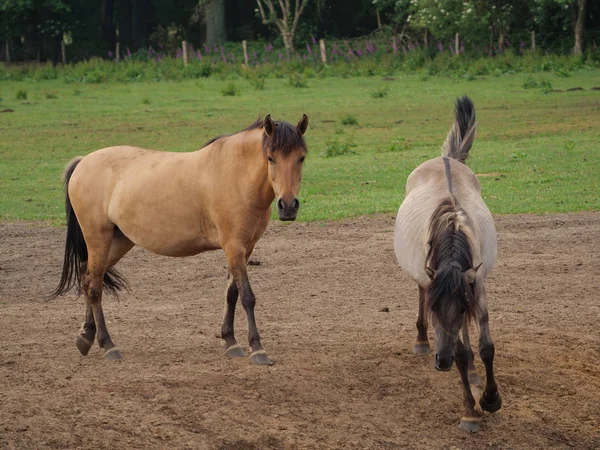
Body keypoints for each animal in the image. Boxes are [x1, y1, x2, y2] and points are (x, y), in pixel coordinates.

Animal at [51, 113, 310, 366]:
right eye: (270, 158)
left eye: (301, 158)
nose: (288, 206)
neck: (235, 175)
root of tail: (83, 162)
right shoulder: (234, 247)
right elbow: (247, 297)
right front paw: (257, 348)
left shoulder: (246, 249)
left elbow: (231, 293)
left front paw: (230, 342)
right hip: (98, 239)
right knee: (95, 287)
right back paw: (108, 345)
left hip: (118, 241)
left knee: (86, 275)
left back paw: (86, 336)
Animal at [394, 97, 502, 432]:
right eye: (434, 310)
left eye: (457, 308)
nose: (442, 363)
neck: (453, 226)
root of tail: (446, 158)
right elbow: (462, 352)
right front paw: (470, 411)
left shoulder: (475, 288)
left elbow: (484, 346)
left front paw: (491, 398)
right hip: (422, 276)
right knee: (420, 292)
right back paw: (422, 341)